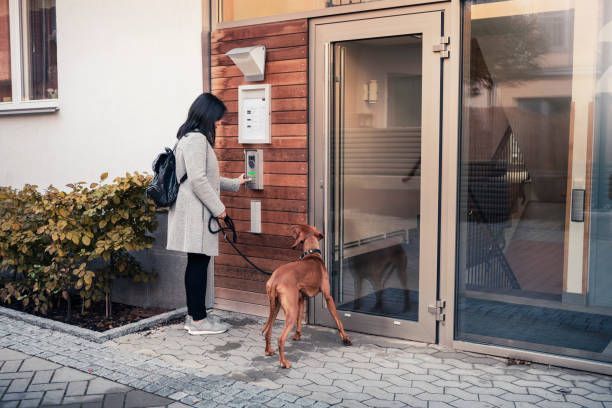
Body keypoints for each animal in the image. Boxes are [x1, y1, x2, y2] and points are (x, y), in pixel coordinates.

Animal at [260, 225, 352, 368]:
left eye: (296, 229)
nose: (291, 228)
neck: (311, 254)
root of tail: (275, 279)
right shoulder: (328, 297)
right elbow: (338, 320)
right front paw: (345, 338)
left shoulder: (301, 298)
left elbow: (299, 320)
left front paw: (297, 335)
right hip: (290, 311)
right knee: (280, 339)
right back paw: (284, 362)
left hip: (275, 307)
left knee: (268, 330)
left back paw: (268, 351)